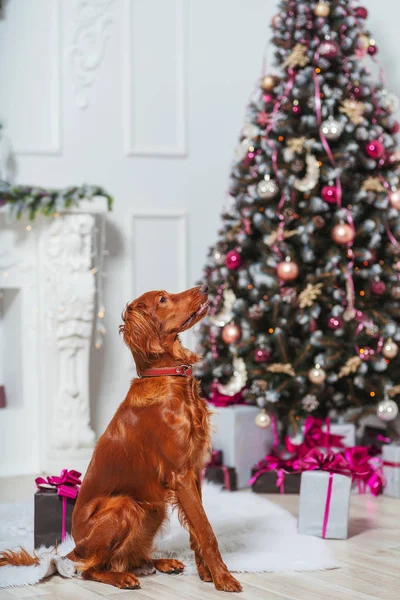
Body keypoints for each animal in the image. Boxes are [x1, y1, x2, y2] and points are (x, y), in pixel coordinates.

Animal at [0, 288, 241, 592]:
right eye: (162, 299)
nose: (205, 289)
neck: (168, 378)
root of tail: (74, 548)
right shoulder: (180, 474)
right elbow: (206, 531)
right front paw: (223, 578)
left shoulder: (194, 471)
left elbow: (197, 529)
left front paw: (206, 573)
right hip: (126, 506)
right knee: (92, 569)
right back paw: (122, 578)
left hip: (153, 507)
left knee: (129, 558)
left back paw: (161, 563)